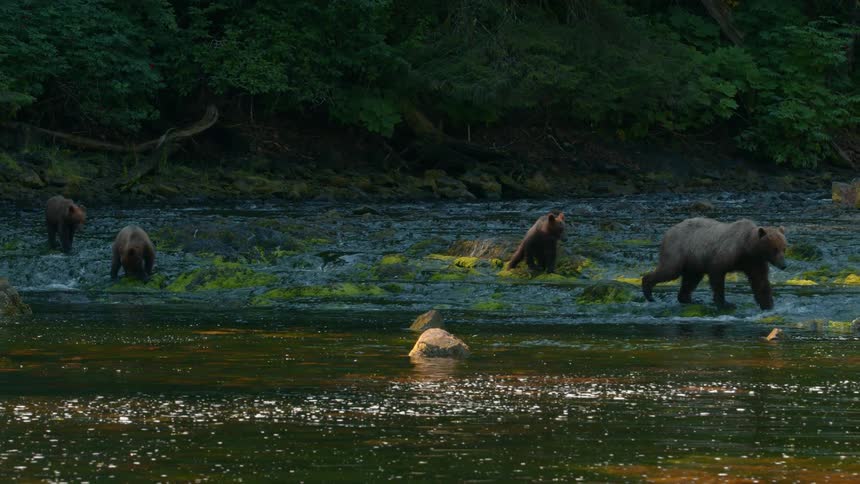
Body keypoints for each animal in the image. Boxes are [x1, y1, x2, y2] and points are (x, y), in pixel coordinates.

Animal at [642, 217, 787, 310]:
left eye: (784, 248)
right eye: (774, 249)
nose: (784, 265)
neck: (747, 247)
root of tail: (669, 230)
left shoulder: (754, 262)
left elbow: (760, 281)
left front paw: (768, 305)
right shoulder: (726, 254)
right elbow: (717, 275)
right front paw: (725, 304)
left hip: (694, 261)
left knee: (690, 279)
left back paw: (689, 299)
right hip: (678, 250)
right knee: (669, 270)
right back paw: (649, 292)